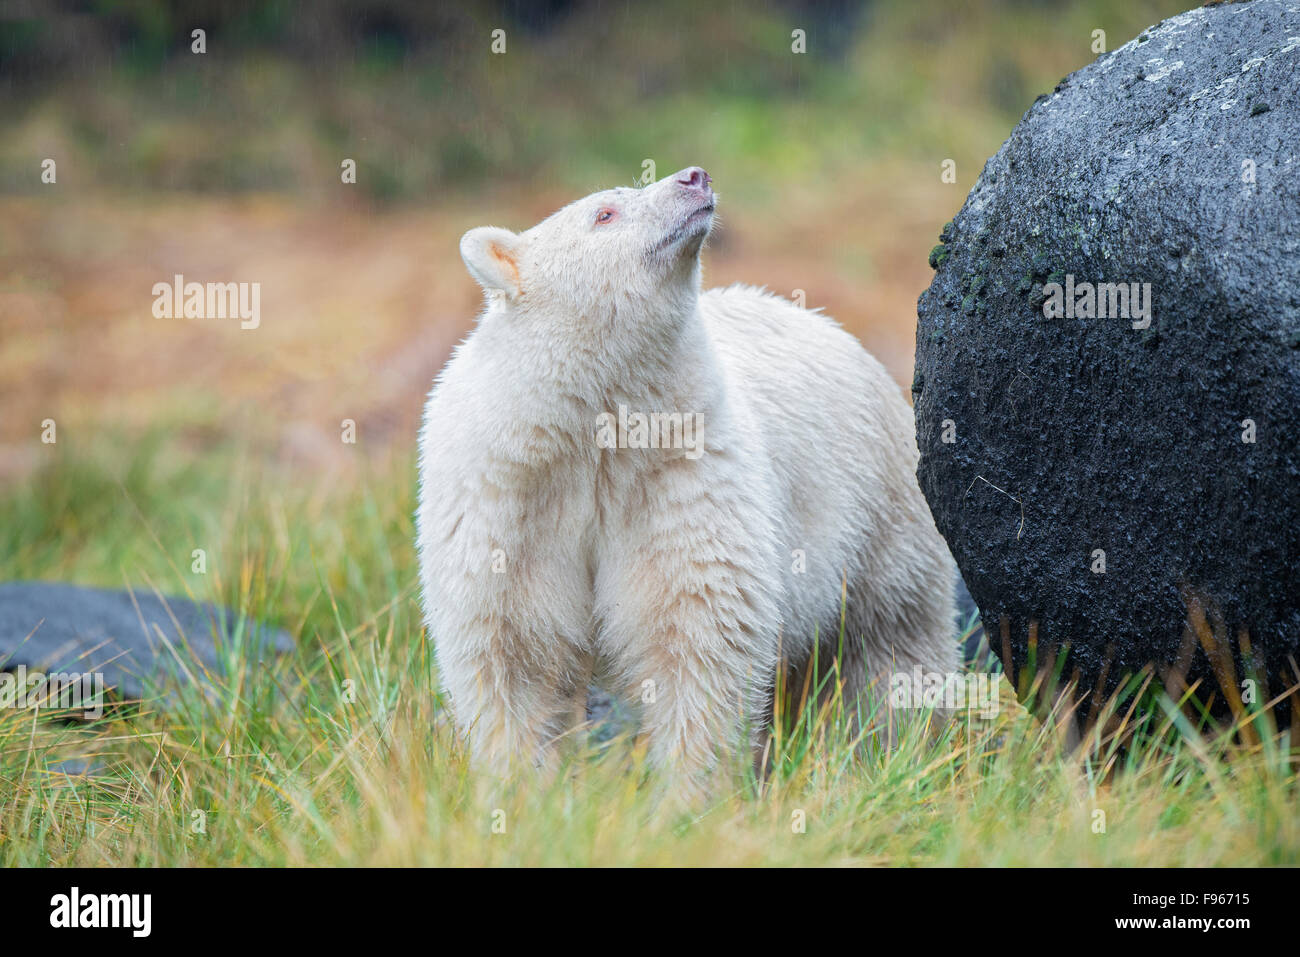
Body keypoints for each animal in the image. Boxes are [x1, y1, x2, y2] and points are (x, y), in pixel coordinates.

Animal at [421, 166, 961, 790]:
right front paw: (522, 787)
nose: (693, 178)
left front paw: (686, 798)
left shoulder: (682, 473)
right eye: (604, 213)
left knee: (889, 645)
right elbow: (512, 647)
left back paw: (887, 753)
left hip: (880, 511)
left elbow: (698, 630)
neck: (591, 427)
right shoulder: (507, 495)